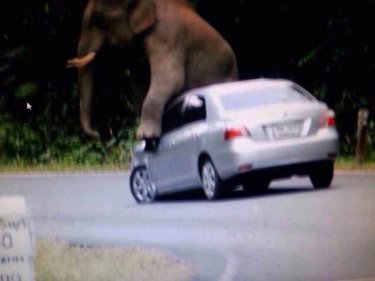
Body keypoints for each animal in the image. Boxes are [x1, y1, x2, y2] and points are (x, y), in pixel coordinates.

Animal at [67, 0, 238, 139]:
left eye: (99, 19)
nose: (98, 133)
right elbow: (140, 83)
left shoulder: (168, 36)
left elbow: (171, 79)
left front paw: (145, 135)